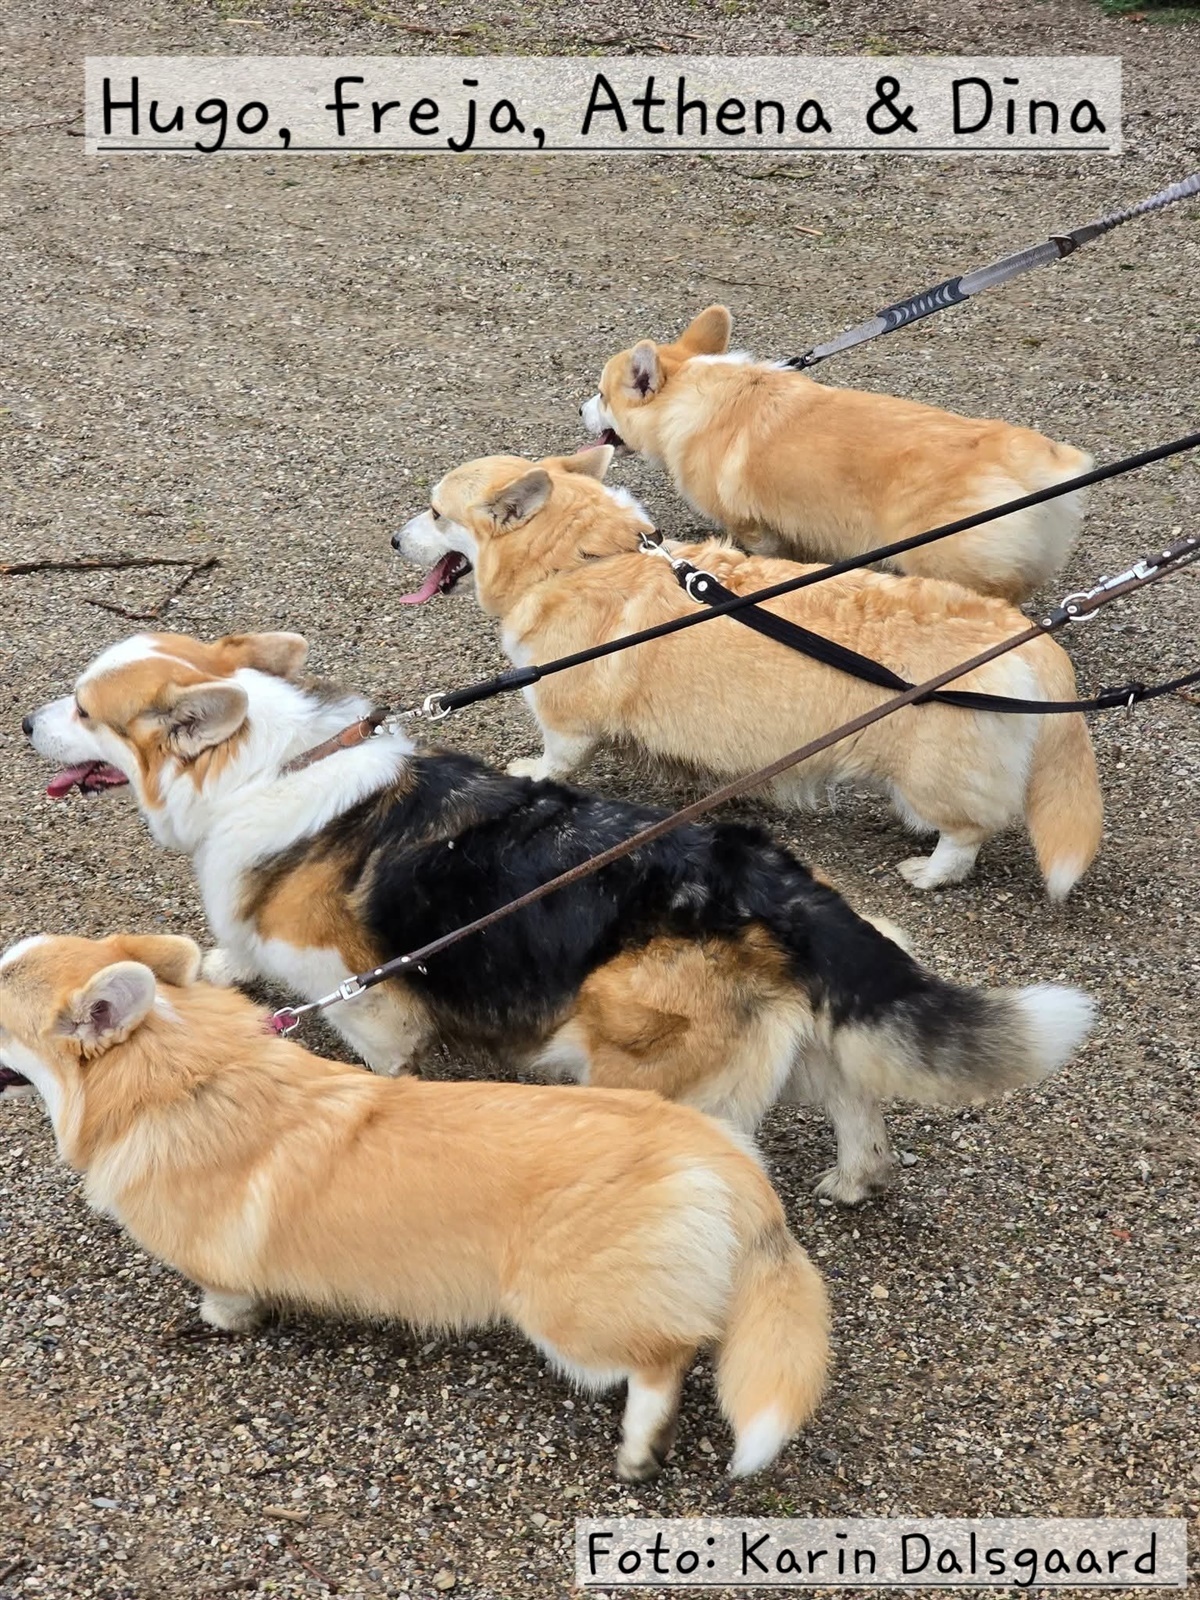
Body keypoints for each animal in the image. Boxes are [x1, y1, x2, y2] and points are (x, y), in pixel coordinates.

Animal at [0, 930, 830, 1479]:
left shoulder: (214, 1262)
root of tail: (719, 1154)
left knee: (666, 1357)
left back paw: (638, 1450)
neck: (179, 1077)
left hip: (567, 1319)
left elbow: (225, 1296)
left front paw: (219, 1320)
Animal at [23, 630, 1094, 1203]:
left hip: (642, 1060)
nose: (26, 720)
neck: (263, 767)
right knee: (860, 1112)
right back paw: (851, 1183)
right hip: (807, 1047)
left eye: (81, 708)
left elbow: (377, 1056)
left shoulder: (361, 991)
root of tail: (778, 885)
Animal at [393, 447, 1103, 898]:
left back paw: (930, 872)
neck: (578, 556)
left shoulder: (565, 709)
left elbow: (558, 756)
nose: (394, 541)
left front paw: (534, 772)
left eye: (435, 512)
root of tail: (1027, 639)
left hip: (934, 775)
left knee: (964, 832)